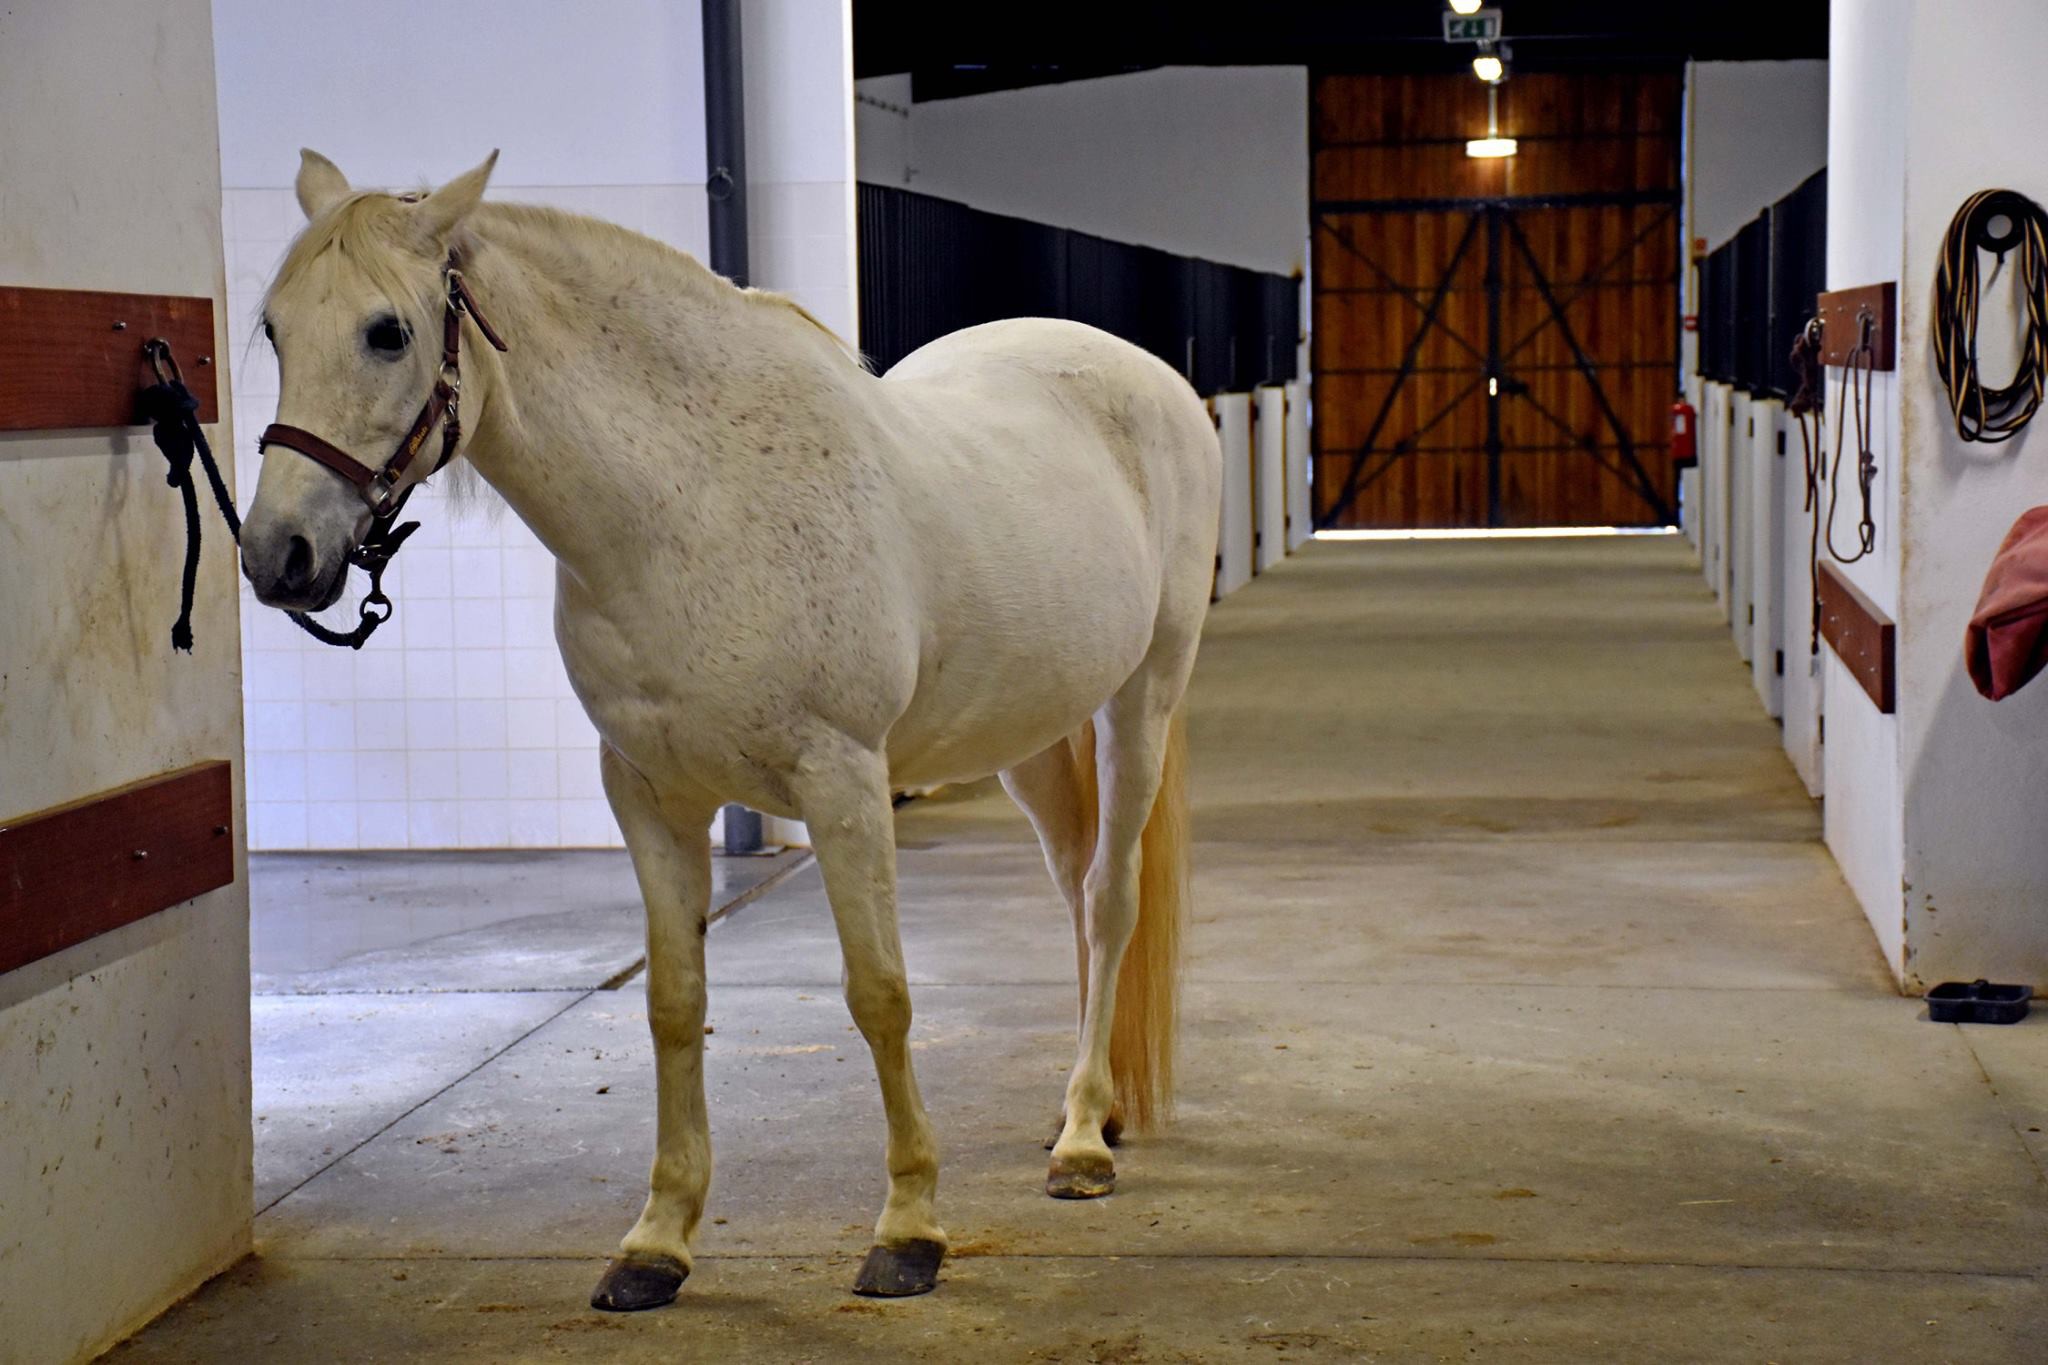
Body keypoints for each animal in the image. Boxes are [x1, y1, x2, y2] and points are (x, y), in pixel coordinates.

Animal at [247, 152, 1220, 1309]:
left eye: (387, 332)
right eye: (273, 330)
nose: (276, 555)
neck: (690, 503)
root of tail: (1145, 378)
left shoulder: (845, 785)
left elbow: (880, 995)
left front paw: (908, 1228)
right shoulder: (649, 794)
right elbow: (674, 1003)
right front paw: (657, 1241)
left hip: (1141, 699)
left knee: (1110, 898)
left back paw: (1080, 1143)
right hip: (1029, 733)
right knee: (1075, 890)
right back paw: (1091, 1106)